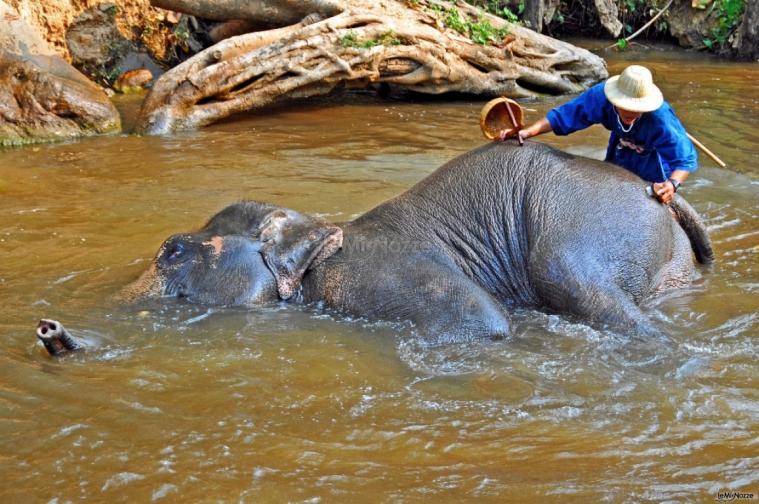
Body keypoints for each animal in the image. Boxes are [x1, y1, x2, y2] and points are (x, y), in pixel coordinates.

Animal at [37, 141, 712, 354]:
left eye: (172, 251)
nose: (49, 329)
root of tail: (664, 197)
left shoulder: (371, 273)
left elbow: (485, 321)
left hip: (579, 236)